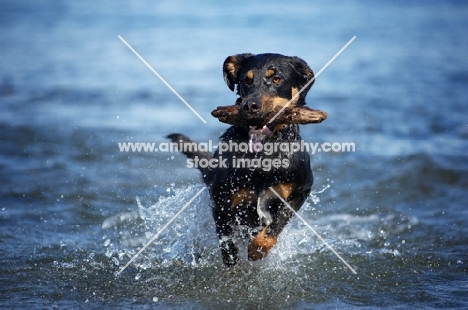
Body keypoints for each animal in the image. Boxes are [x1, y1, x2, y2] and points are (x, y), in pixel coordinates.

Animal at [167, 53, 314, 266]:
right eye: (246, 80)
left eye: (276, 79)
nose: (250, 106)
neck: (263, 154)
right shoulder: (221, 199)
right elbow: (227, 242)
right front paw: (233, 260)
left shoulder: (301, 190)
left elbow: (277, 224)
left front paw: (258, 248)